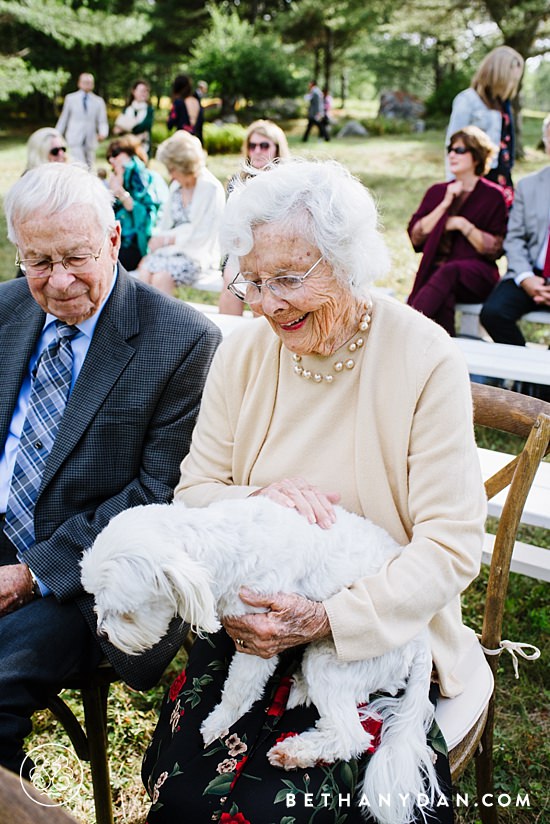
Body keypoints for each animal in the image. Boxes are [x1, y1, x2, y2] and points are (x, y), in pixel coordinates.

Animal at [82, 496, 442, 824]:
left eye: (126, 613)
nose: (100, 632)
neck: (229, 542)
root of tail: (423, 637)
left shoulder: (259, 637)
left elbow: (239, 689)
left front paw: (219, 722)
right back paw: (300, 689)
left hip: (334, 660)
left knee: (350, 736)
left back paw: (295, 751)